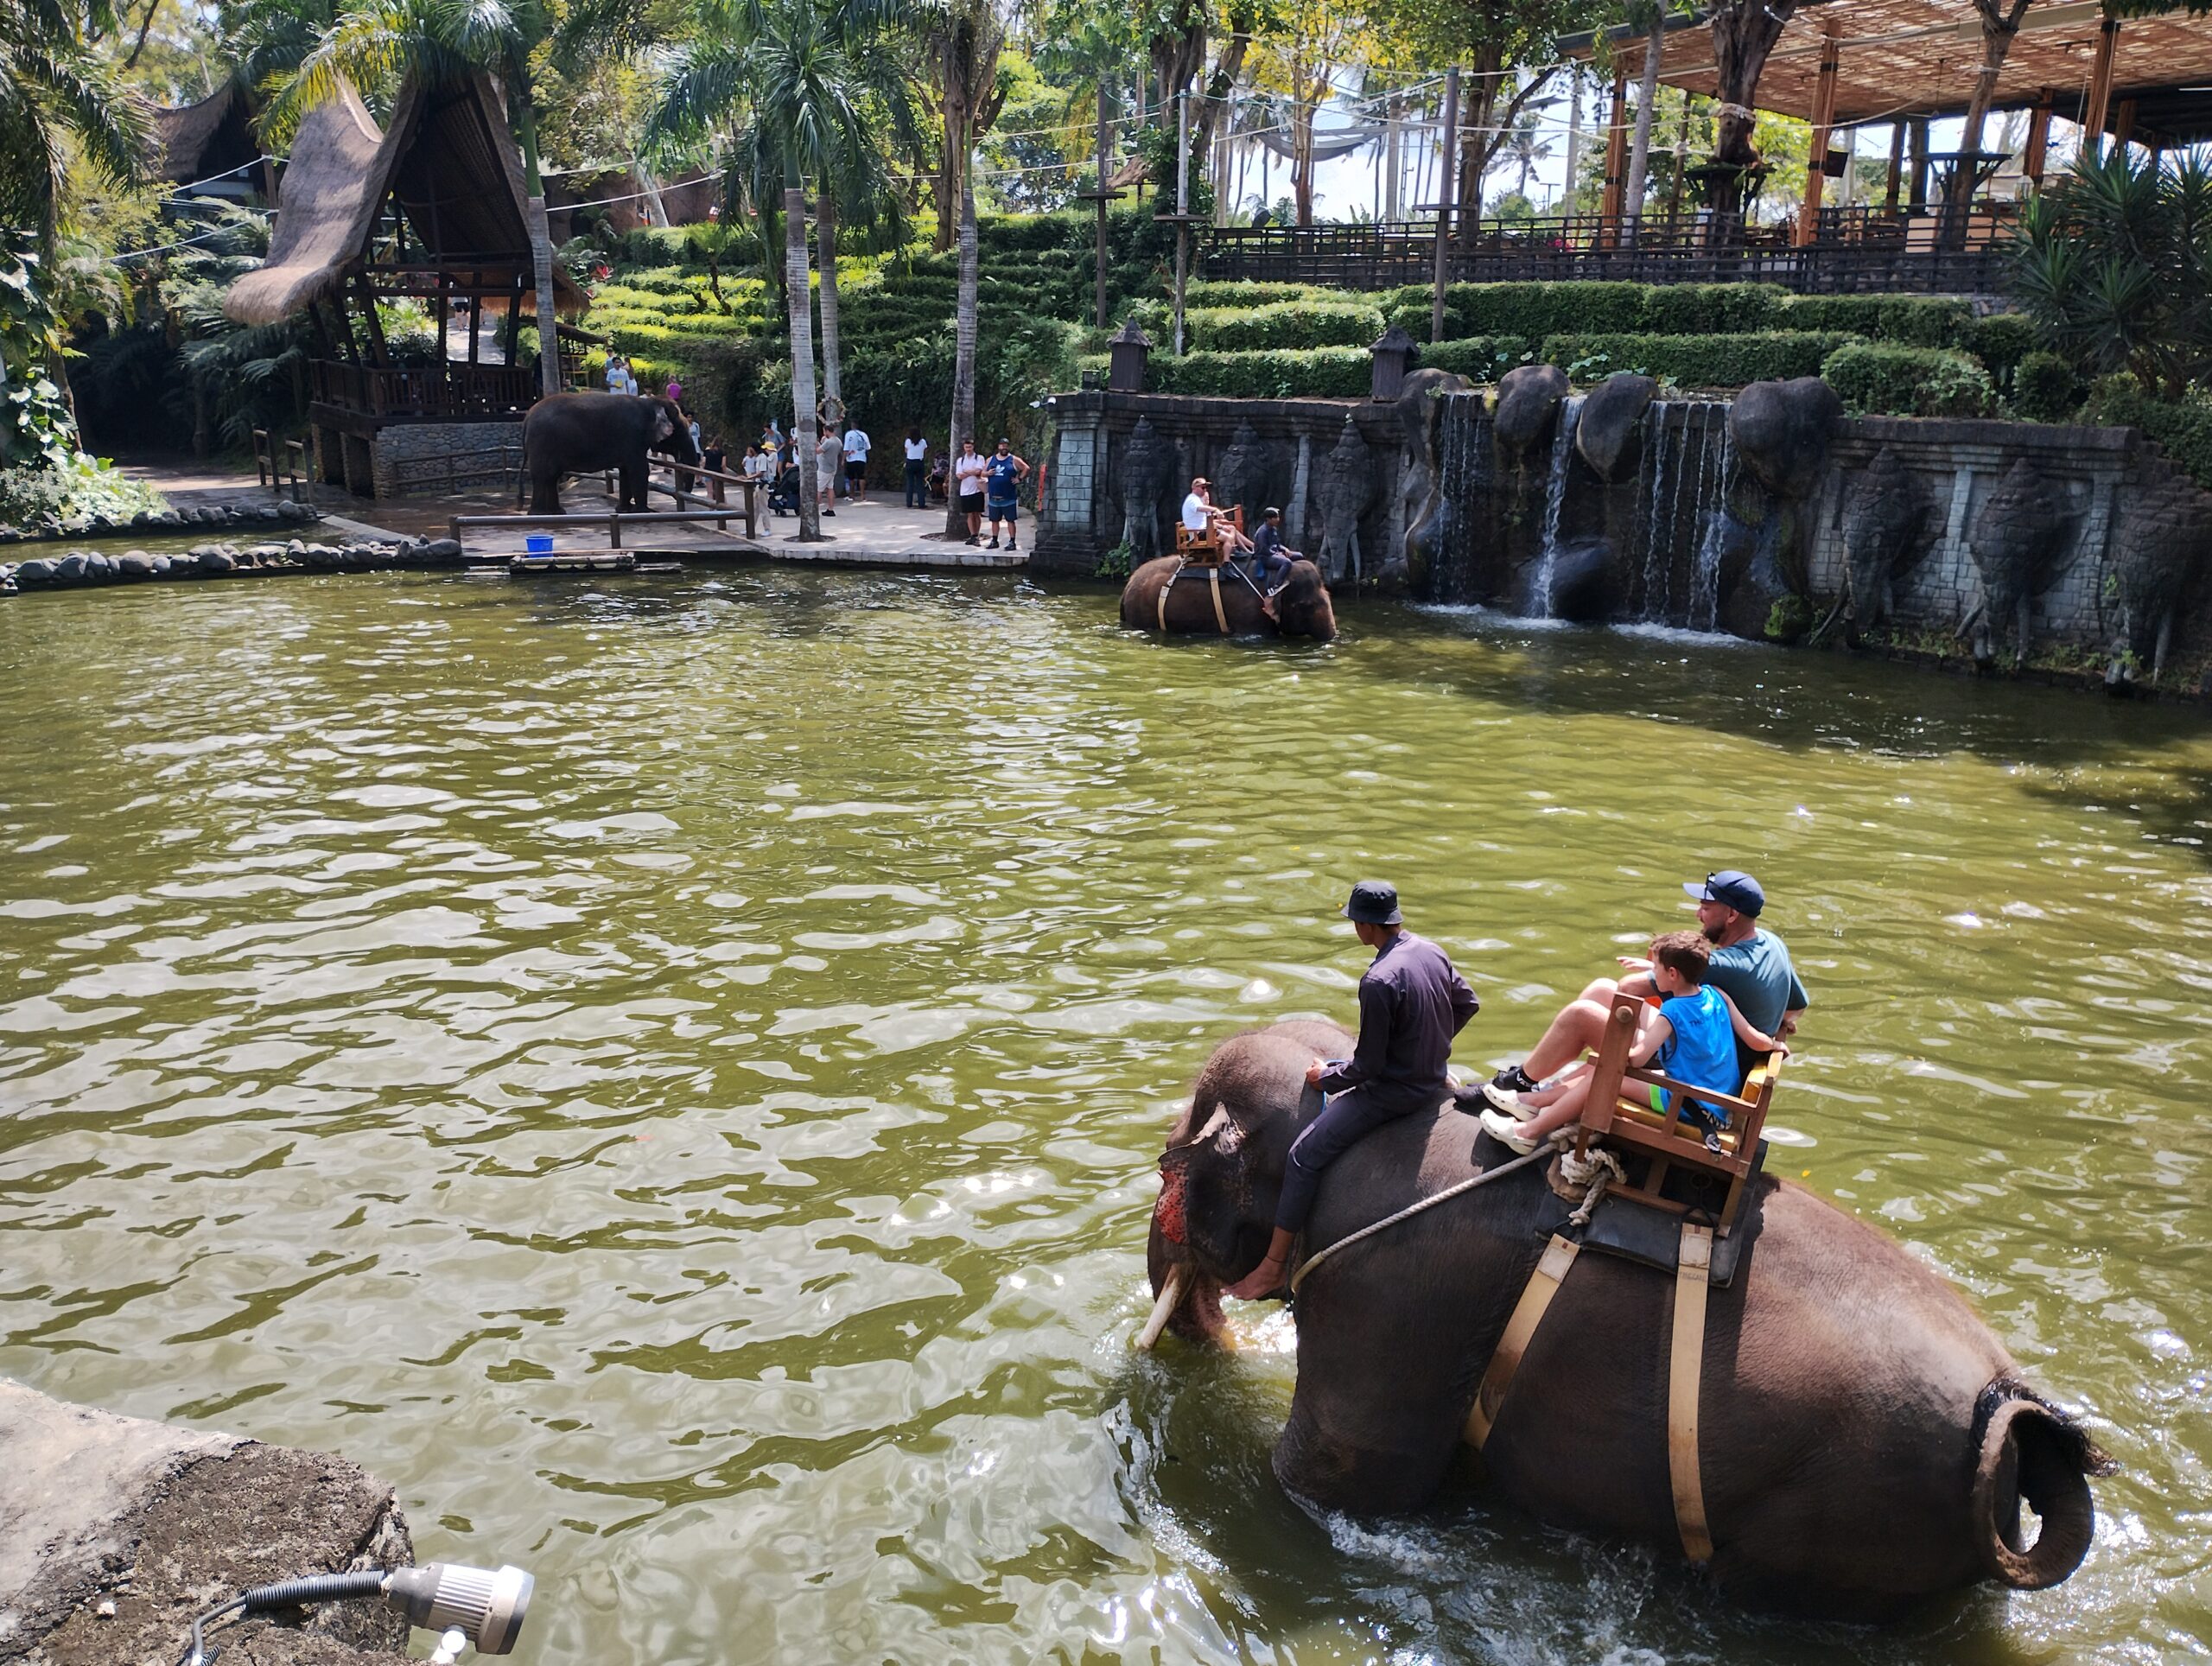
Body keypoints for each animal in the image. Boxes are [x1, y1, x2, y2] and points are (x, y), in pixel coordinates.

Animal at [519, 391, 698, 513]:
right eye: (678, 429)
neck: (649, 403)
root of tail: (527, 418)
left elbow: (625, 471)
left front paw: (624, 510)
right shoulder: (631, 436)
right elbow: (639, 470)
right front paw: (643, 512)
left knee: (551, 477)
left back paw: (556, 512)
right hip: (542, 443)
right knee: (543, 476)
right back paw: (538, 514)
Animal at [1141, 1021, 2106, 1619]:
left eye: (1169, 1160)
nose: (1212, 1340)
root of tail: (2012, 1406)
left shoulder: (1385, 1299)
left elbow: (1330, 1478)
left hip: (1849, 1514)